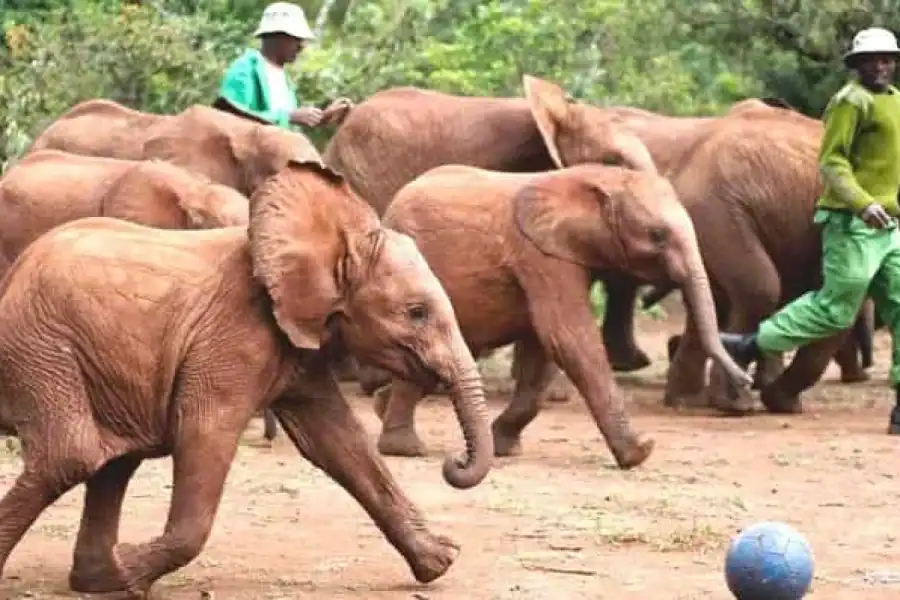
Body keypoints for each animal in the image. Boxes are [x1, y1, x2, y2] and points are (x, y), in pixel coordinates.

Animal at [0, 159, 493, 597]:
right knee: (73, 456)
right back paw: (112, 576)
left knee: (113, 460)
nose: (453, 463)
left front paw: (440, 562)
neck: (335, 239)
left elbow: (339, 443)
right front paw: (133, 568)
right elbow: (204, 435)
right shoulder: (233, 339)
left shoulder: (297, 347)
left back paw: (102, 582)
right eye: (416, 312)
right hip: (43, 346)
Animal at [373, 162, 752, 466]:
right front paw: (639, 452)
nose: (746, 383)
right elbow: (567, 337)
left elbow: (542, 350)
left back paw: (380, 408)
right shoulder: (541, 256)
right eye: (657, 235)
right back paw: (403, 449)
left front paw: (504, 447)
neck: (599, 178)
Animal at [518, 75, 868, 413]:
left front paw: (778, 399)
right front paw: (770, 398)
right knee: (758, 288)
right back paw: (730, 403)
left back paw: (691, 398)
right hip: (717, 211)